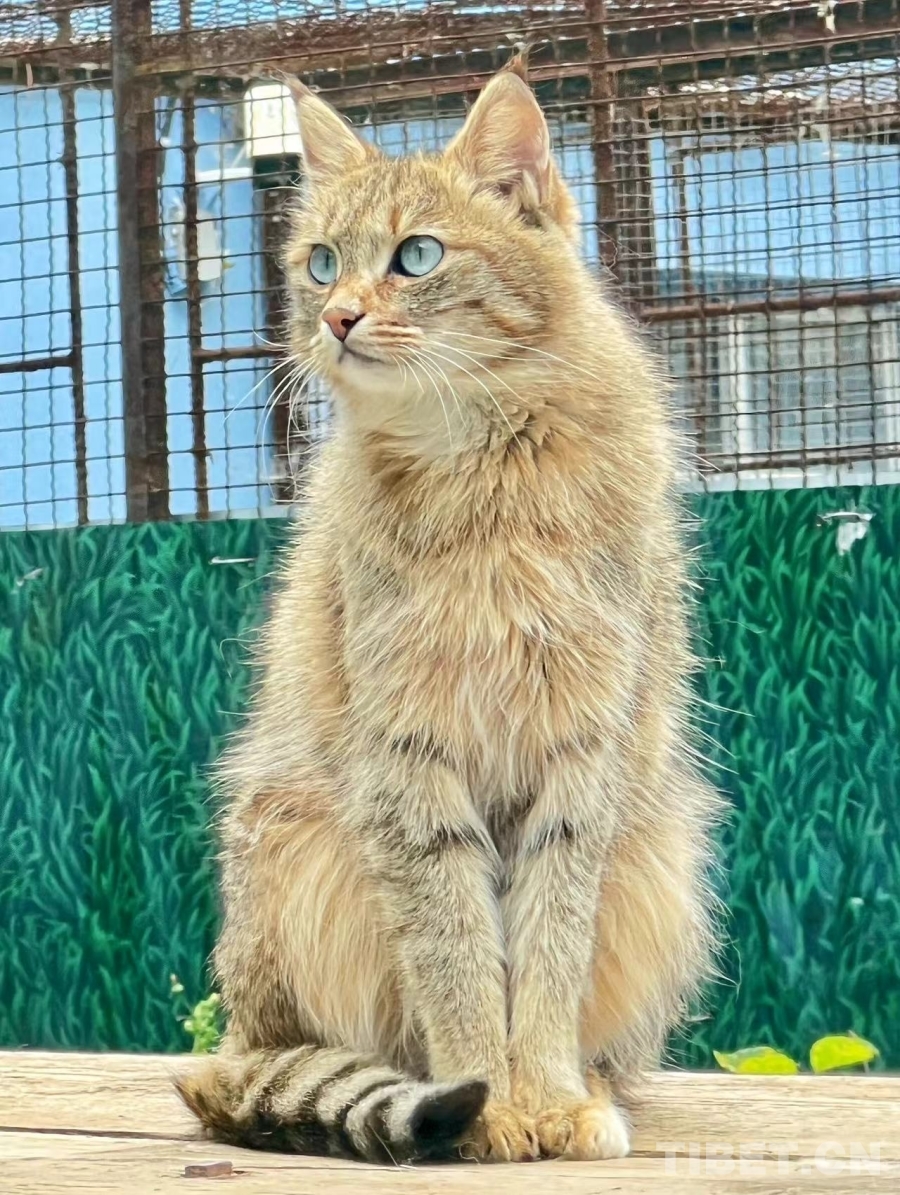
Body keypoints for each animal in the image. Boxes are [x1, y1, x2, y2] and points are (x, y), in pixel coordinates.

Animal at [176, 58, 721, 1165]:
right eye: (321, 262)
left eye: (416, 256)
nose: (336, 318)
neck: (485, 469)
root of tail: (232, 1043)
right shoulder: (409, 761)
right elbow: (458, 953)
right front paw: (493, 1103)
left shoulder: (582, 757)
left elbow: (548, 950)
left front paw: (547, 1096)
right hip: (291, 842)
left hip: (660, 851)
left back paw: (595, 1086)